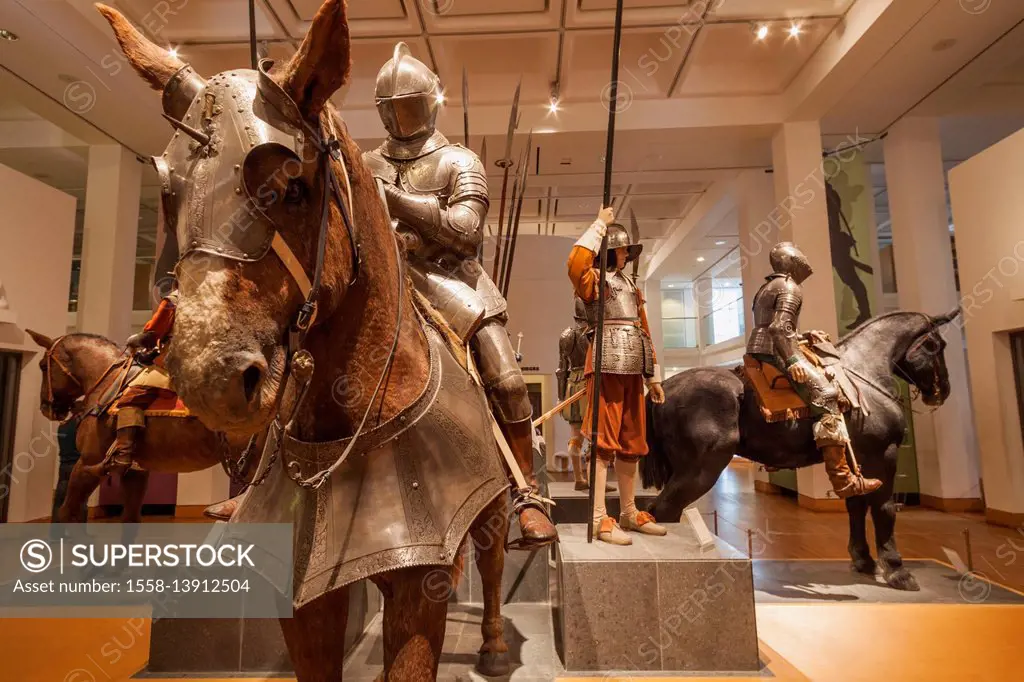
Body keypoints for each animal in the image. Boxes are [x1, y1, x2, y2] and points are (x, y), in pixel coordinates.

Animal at [27, 329, 238, 520]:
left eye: (42, 367)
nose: (46, 408)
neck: (110, 380)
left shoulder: (88, 462)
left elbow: (67, 512)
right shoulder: (135, 472)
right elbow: (130, 517)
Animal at [97, 1, 509, 679]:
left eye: (293, 187)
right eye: (169, 194)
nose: (210, 377)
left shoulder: (420, 580)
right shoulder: (303, 595)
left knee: (497, 551)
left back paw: (497, 643)